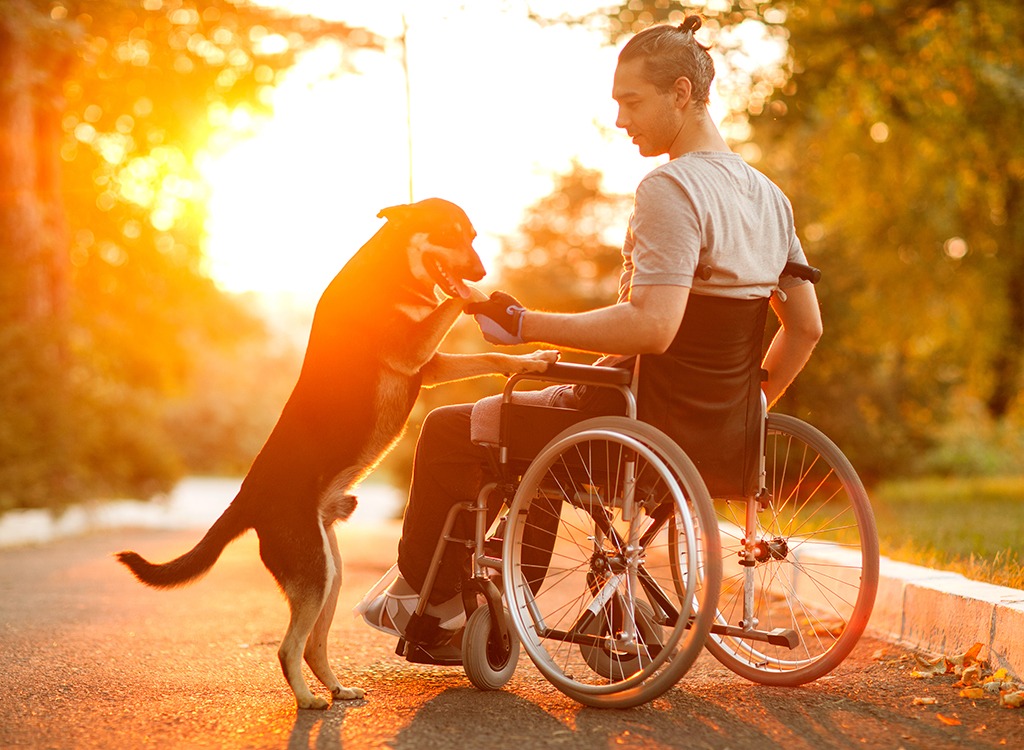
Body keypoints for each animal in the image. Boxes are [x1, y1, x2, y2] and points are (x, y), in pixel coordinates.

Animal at [118, 197, 561, 709]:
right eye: (451, 234)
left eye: (471, 236)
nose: (482, 268)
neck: (392, 272)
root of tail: (245, 499)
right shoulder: (412, 350)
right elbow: (453, 300)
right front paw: (482, 297)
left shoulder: (428, 365)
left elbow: (491, 358)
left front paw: (531, 357)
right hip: (315, 574)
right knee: (289, 648)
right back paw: (308, 699)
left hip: (330, 573)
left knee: (313, 645)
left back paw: (335, 688)